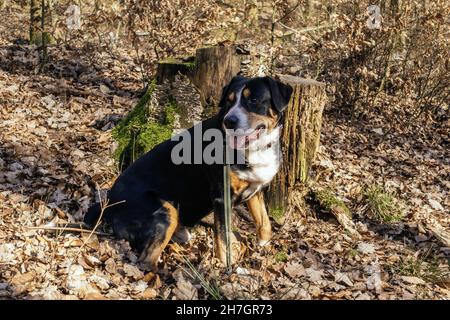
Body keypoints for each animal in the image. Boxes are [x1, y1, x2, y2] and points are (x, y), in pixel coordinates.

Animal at [84, 75, 294, 270]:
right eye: (229, 101)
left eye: (253, 100)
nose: (229, 121)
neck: (255, 149)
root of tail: (108, 204)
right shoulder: (221, 197)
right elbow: (223, 237)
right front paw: (227, 267)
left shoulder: (255, 188)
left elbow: (264, 222)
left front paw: (264, 247)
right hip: (165, 210)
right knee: (146, 260)